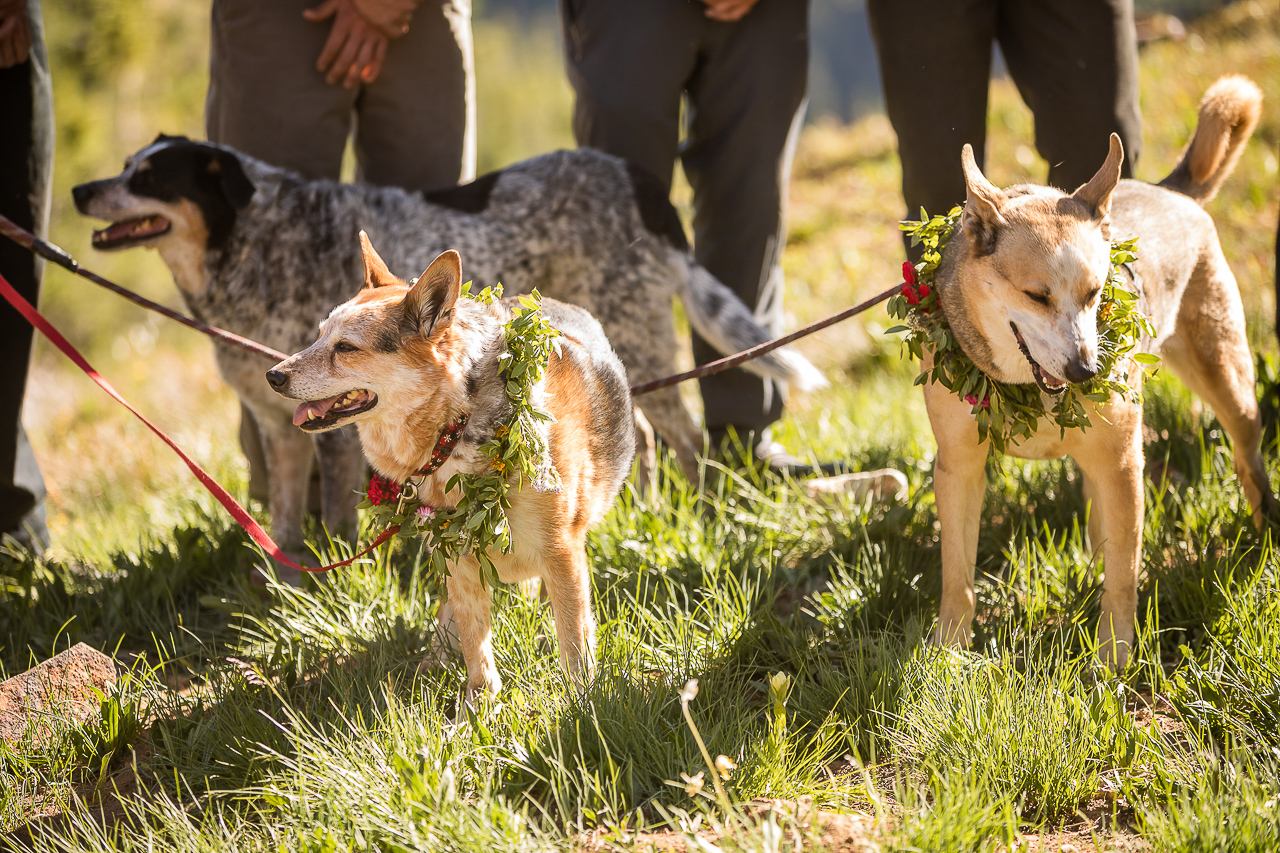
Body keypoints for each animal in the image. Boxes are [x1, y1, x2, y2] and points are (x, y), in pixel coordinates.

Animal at [266, 235, 634, 701]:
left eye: (345, 348)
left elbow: (574, 644)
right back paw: (434, 659)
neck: (456, 427)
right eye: (317, 337)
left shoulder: (561, 553)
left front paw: (581, 703)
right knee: (455, 616)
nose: (272, 376)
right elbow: (477, 645)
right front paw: (479, 703)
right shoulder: (456, 553)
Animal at [890, 76, 1280, 666]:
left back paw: (1262, 535)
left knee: (1246, 460)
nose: (1087, 371)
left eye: (1096, 292)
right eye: (1036, 295)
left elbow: (1124, 575)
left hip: (1227, 379)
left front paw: (1114, 658)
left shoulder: (1121, 463)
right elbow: (956, 573)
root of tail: (1172, 191)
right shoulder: (958, 465)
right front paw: (949, 650)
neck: (1026, 386)